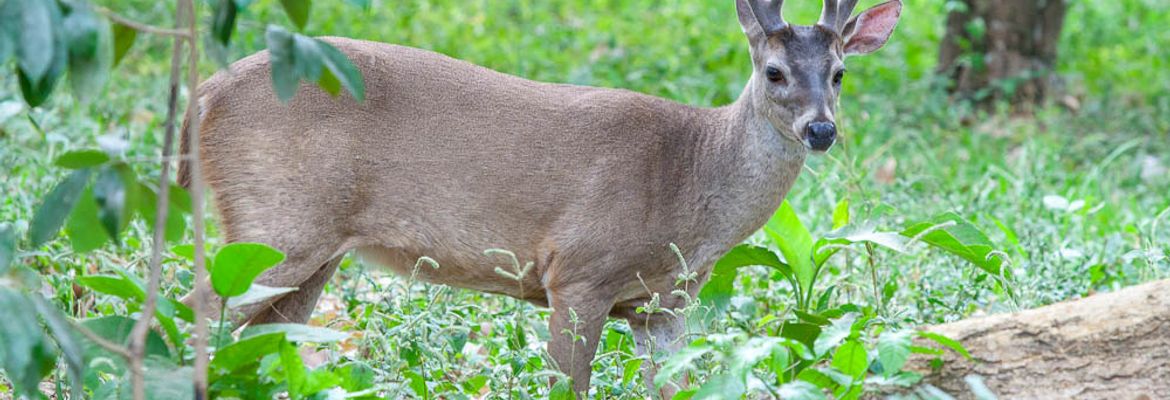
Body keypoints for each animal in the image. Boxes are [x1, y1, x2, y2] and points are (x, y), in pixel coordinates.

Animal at [178, 0, 902, 396]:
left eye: (840, 73)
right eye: (774, 72)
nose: (821, 129)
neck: (689, 175)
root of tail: (205, 94)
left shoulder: (665, 303)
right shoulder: (579, 271)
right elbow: (567, 386)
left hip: (308, 248)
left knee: (262, 342)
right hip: (274, 221)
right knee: (195, 308)